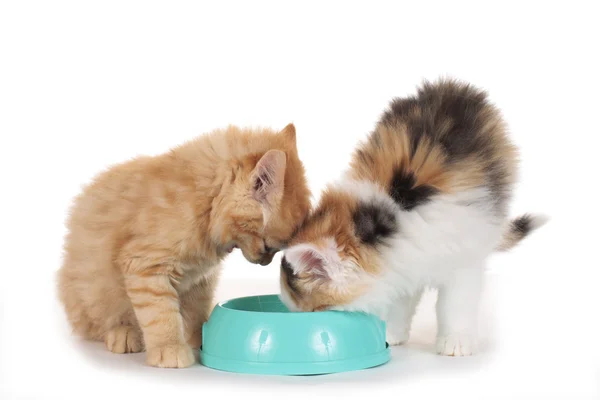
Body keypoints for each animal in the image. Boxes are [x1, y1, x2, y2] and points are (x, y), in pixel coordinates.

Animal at [58, 123, 312, 368]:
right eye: (268, 246)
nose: (264, 262)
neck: (204, 209)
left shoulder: (199, 280)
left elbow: (195, 312)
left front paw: (201, 337)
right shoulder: (147, 267)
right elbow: (161, 315)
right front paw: (169, 348)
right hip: (94, 289)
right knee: (98, 323)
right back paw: (124, 332)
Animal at [278, 79, 548, 354]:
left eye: (314, 310)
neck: (387, 218)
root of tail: (453, 84)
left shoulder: (464, 252)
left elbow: (456, 302)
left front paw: (456, 340)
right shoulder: (402, 262)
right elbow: (401, 300)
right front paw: (391, 333)